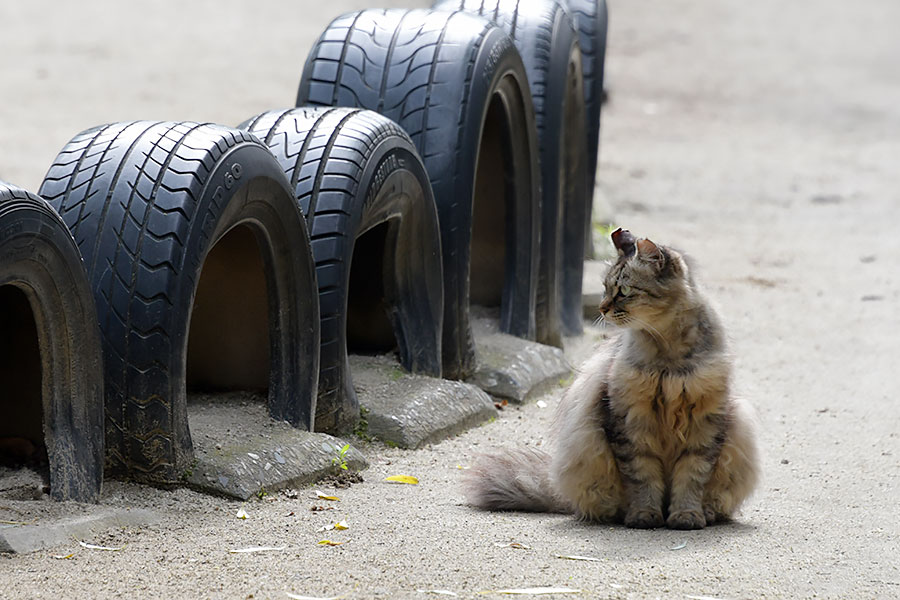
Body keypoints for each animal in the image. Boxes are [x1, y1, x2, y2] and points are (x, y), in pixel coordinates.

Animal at [464, 227, 760, 528]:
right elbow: (642, 477)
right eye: (606, 288)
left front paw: (686, 516)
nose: (602, 308)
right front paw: (644, 515)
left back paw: (707, 513)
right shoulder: (630, 422)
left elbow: (691, 477)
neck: (668, 357)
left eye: (624, 291)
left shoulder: (705, 423)